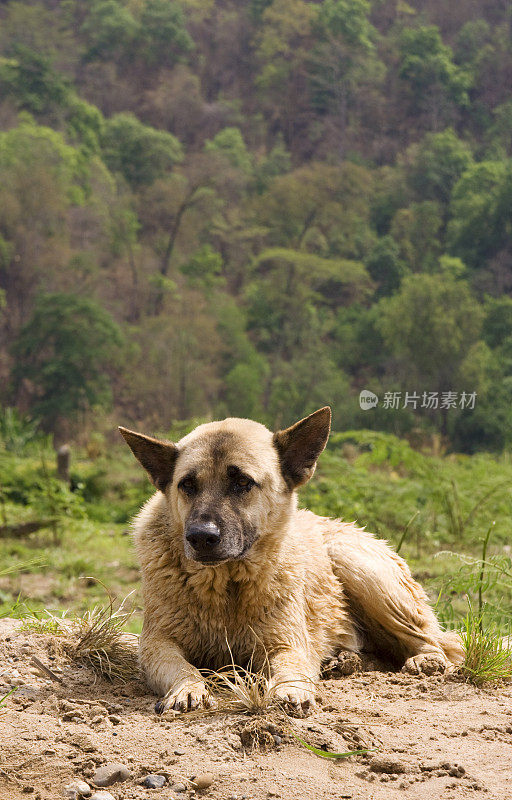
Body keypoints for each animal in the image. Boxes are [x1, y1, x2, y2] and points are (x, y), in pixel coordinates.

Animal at [120, 410, 464, 716]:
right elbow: (182, 667)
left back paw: (424, 660)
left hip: (355, 566)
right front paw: (187, 688)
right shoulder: (157, 645)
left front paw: (291, 690)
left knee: (432, 641)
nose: (201, 536)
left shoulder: (286, 646)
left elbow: (290, 669)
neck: (226, 587)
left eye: (242, 482)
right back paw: (342, 661)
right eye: (187, 485)